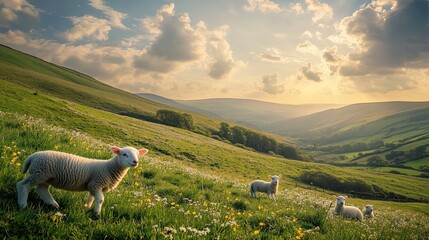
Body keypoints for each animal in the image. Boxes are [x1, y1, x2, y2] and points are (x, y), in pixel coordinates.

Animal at [16, 146, 148, 216]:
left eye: (138, 155)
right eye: (124, 154)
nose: (135, 162)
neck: (108, 168)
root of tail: (32, 156)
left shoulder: (93, 186)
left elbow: (91, 198)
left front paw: (87, 207)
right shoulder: (96, 183)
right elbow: (100, 200)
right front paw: (97, 213)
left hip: (45, 176)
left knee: (42, 189)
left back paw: (53, 204)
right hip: (39, 173)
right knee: (23, 185)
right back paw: (23, 205)